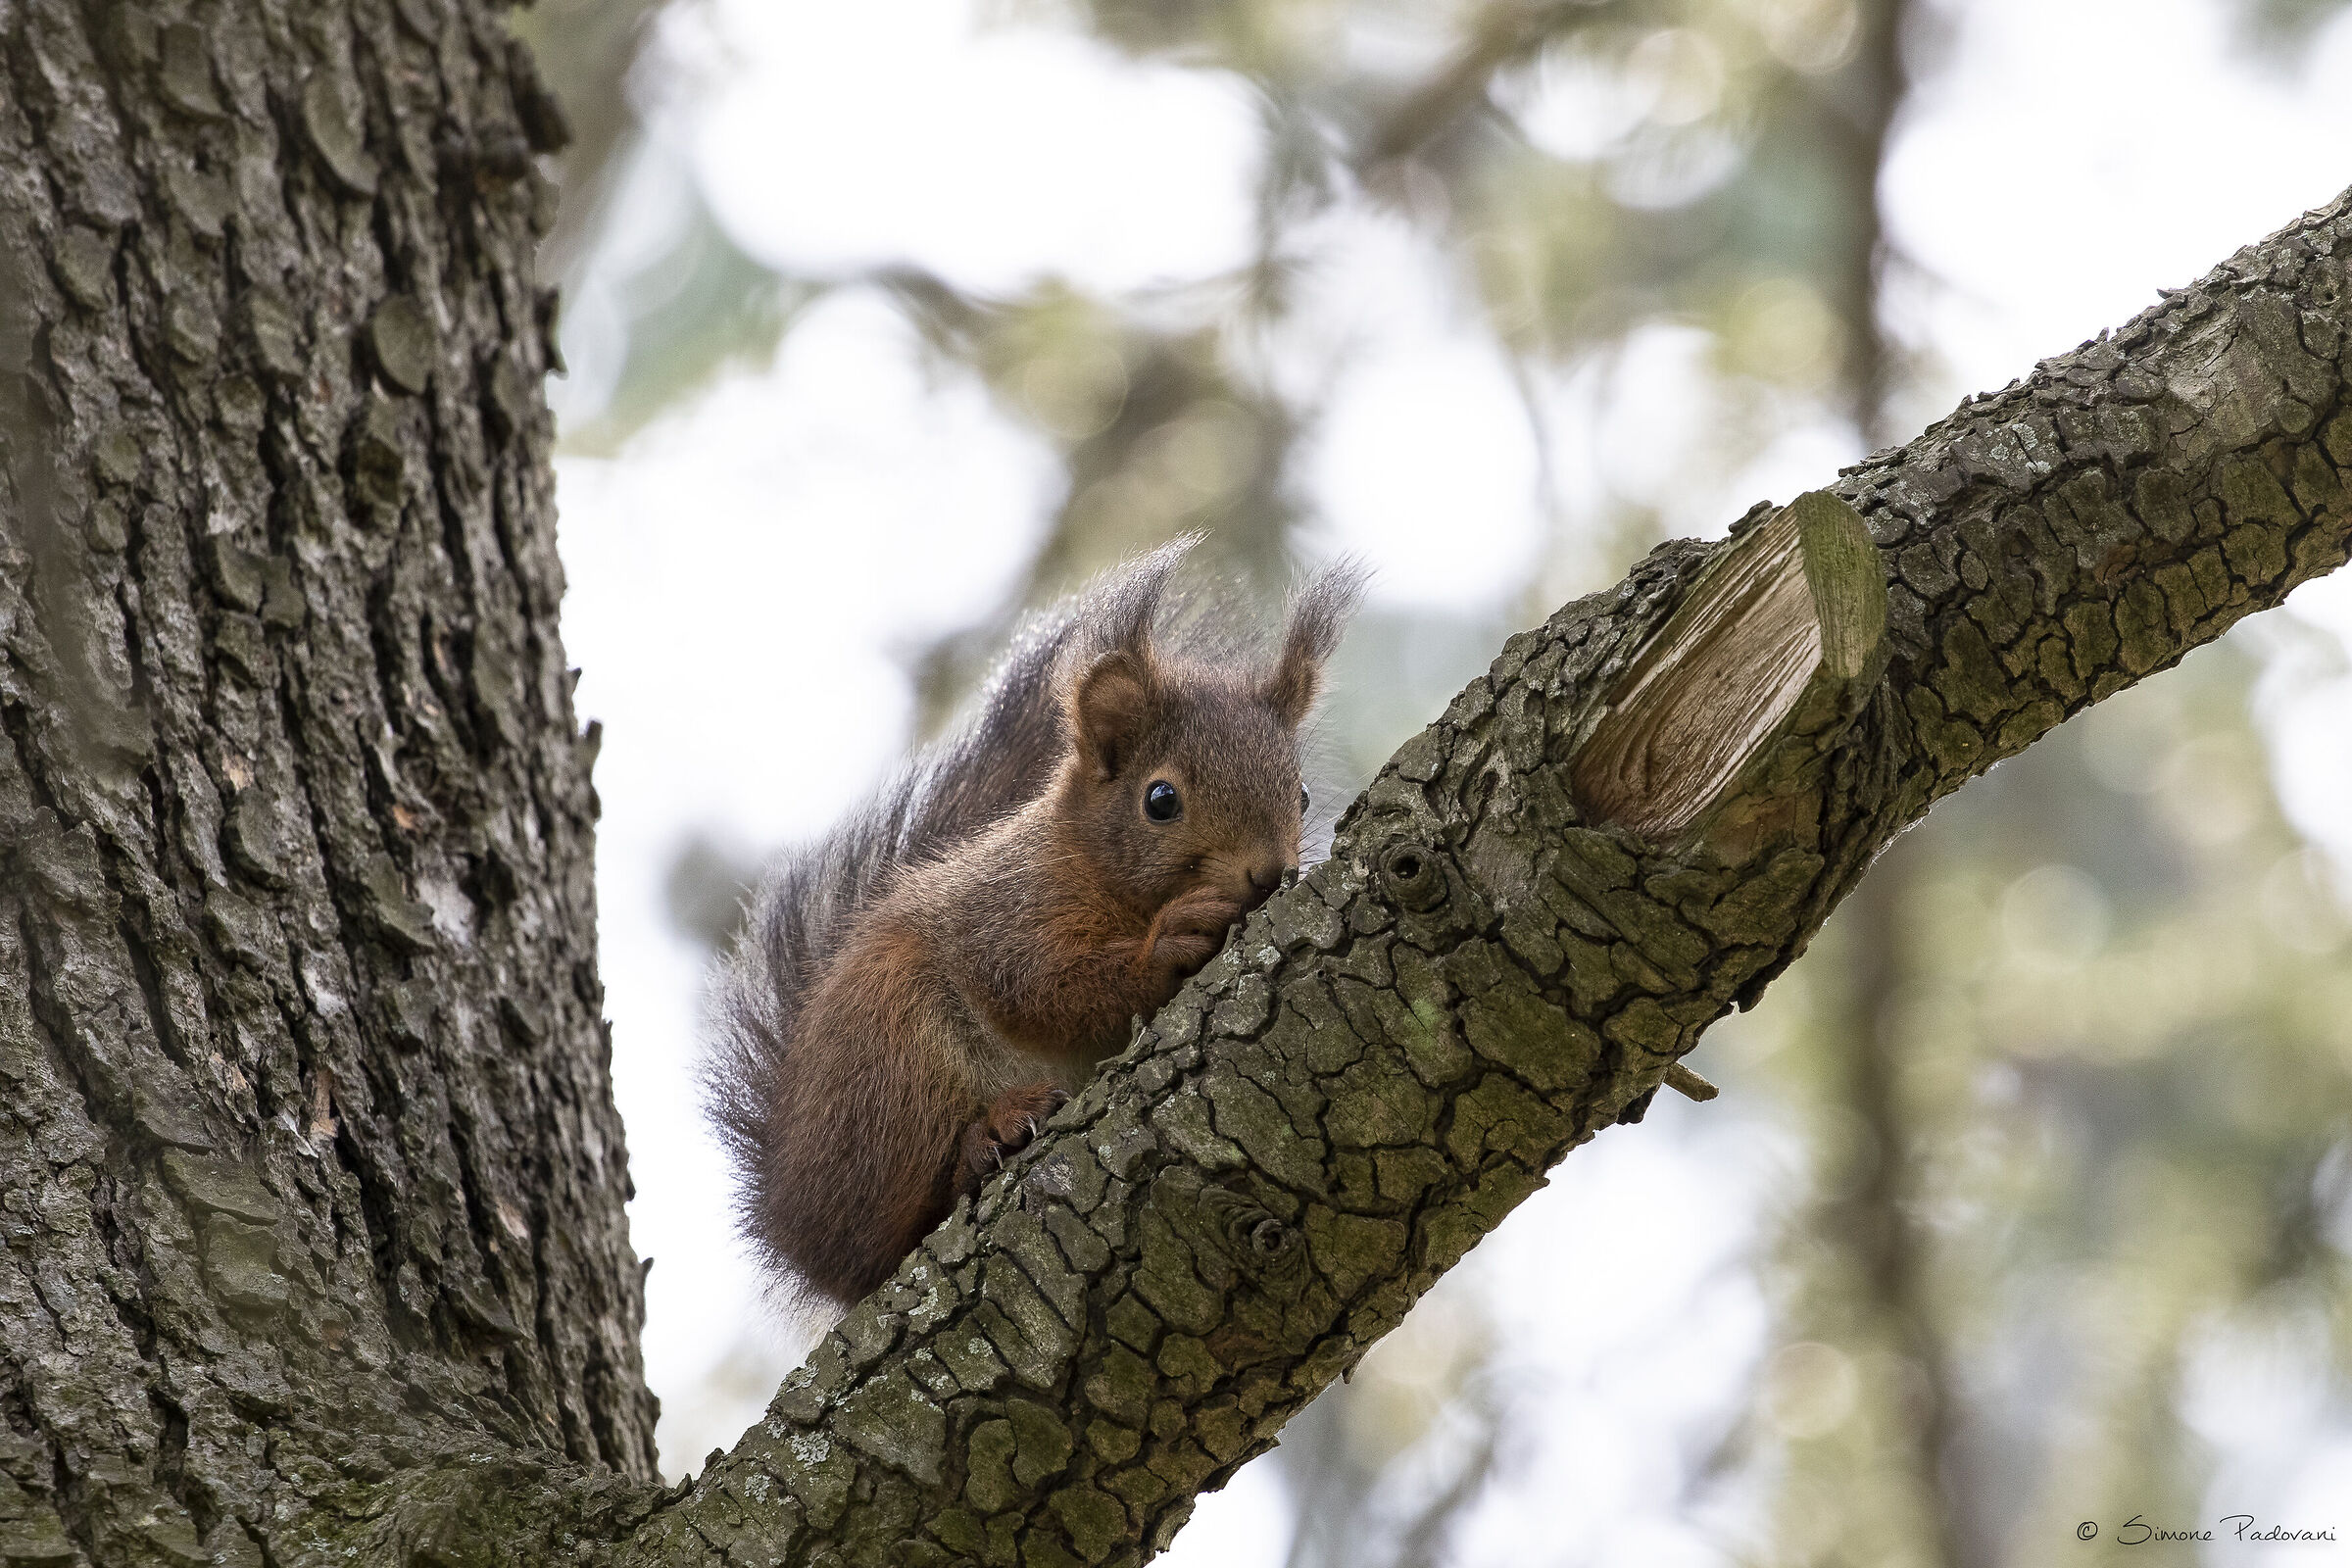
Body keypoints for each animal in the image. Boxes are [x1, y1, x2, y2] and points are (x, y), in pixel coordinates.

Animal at [703, 539, 1364, 1311]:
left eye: (1302, 794)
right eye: (1160, 800)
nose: (1268, 874)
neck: (1092, 865)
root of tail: (795, 1219)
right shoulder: (1008, 912)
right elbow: (1039, 986)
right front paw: (1169, 943)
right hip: (887, 1060)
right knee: (891, 1232)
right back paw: (985, 1137)